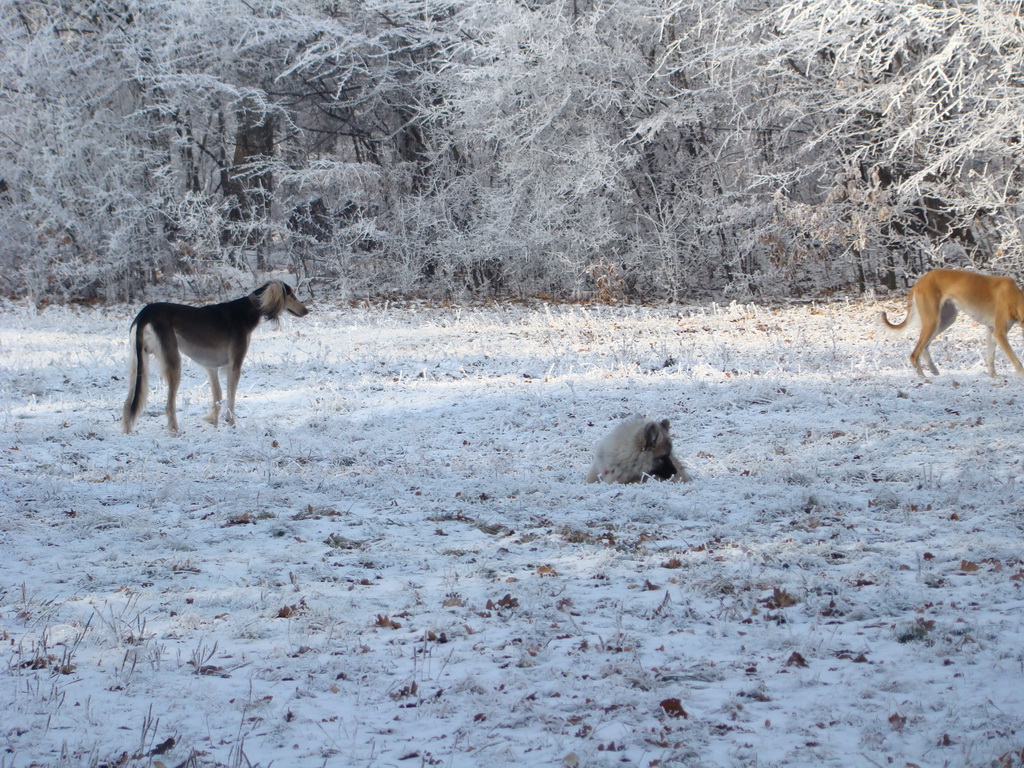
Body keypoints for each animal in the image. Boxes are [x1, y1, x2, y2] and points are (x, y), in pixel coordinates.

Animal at [120, 280, 307, 434]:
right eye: (291, 294)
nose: (306, 310)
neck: (247, 310)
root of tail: (145, 313)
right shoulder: (235, 364)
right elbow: (231, 397)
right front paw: (231, 424)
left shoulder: (211, 367)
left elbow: (217, 396)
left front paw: (214, 423)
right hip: (173, 362)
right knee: (168, 405)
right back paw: (175, 432)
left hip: (138, 363)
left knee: (129, 402)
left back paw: (128, 432)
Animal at [876, 268, 1024, 380]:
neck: (1015, 297)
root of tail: (919, 282)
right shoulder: (999, 333)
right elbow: (1016, 360)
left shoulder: (991, 330)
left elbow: (990, 357)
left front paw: (993, 376)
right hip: (933, 321)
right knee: (915, 354)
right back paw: (923, 378)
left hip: (945, 319)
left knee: (924, 347)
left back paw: (934, 370)